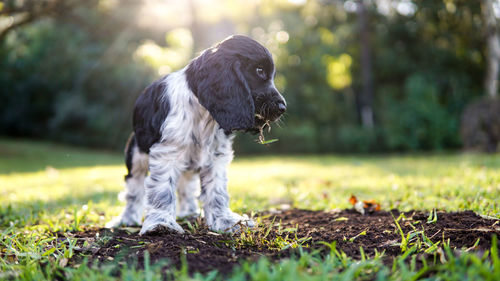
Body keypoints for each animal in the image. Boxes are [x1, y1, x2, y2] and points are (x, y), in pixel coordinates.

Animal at [107, 35, 288, 234]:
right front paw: (161, 224)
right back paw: (127, 219)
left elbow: (217, 190)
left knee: (186, 186)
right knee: (134, 186)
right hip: (136, 153)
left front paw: (225, 221)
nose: (283, 107)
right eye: (259, 71)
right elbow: (163, 189)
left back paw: (189, 213)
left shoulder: (217, 157)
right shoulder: (166, 153)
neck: (204, 115)